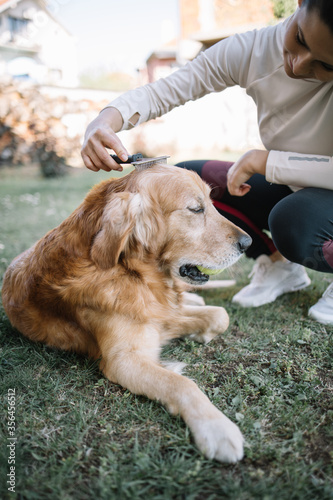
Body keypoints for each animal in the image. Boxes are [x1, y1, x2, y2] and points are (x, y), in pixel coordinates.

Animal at [1, 165, 250, 464]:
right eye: (195, 209)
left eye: (211, 204)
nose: (248, 242)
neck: (135, 271)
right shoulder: (123, 360)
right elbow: (181, 383)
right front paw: (216, 428)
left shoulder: (163, 313)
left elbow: (220, 316)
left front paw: (200, 333)